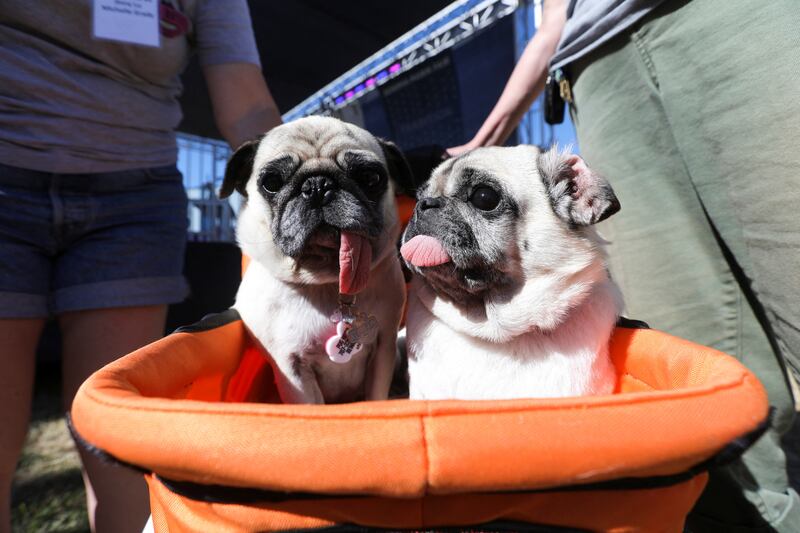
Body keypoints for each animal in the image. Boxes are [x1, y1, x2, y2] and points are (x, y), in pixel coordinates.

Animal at [220, 117, 410, 404]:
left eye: (370, 178)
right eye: (271, 182)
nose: (318, 186)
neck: (324, 283)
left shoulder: (383, 349)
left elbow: (376, 395)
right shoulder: (293, 372)